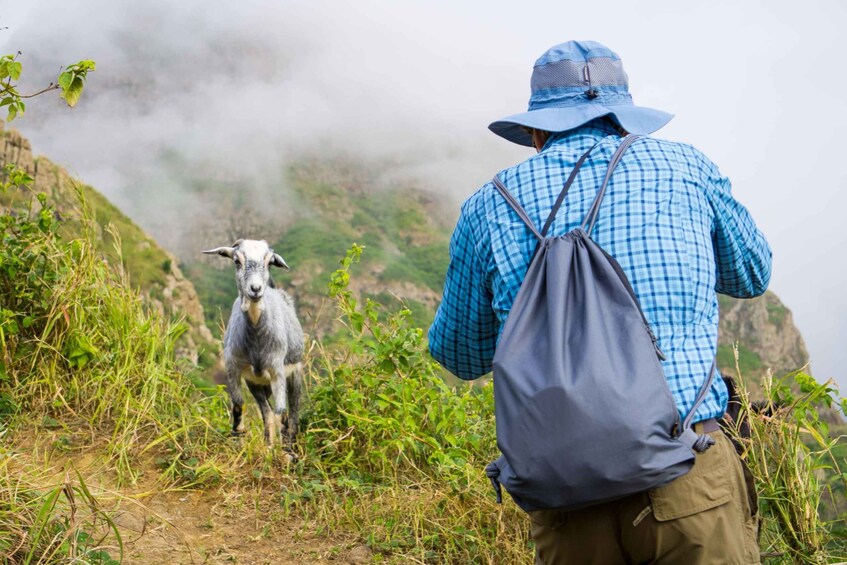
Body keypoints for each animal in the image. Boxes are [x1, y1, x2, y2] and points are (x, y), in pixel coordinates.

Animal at [202, 237, 304, 446]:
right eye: (236, 260)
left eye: (269, 261)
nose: (255, 289)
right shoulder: (234, 367)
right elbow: (239, 405)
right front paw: (238, 436)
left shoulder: (277, 369)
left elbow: (281, 413)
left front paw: (285, 449)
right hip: (256, 382)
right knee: (267, 412)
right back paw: (269, 444)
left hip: (295, 371)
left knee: (292, 411)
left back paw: (290, 442)